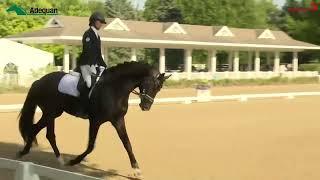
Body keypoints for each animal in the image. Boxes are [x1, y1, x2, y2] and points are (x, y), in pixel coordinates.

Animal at [16, 61, 171, 177]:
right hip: (50, 112)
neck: (115, 88)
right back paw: (25, 153)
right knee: (38, 130)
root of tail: (39, 81)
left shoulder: (118, 120)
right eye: (151, 85)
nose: (145, 107)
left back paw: (57, 159)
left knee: (45, 133)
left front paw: (137, 170)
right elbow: (91, 146)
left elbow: (127, 143)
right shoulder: (95, 121)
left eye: (159, 89)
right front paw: (74, 161)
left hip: (53, 113)